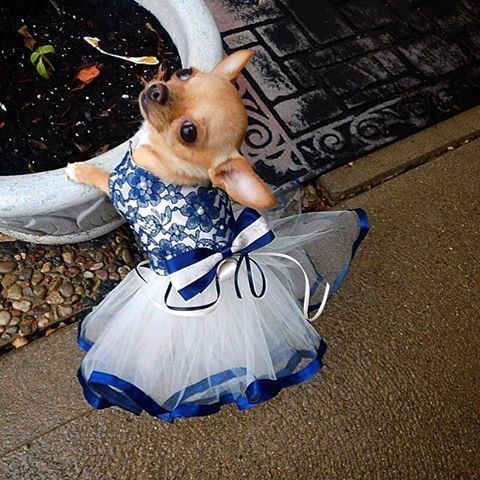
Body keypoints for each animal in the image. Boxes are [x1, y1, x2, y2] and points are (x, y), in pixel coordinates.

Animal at [68, 50, 278, 210]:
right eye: (184, 72)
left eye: (188, 132)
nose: (158, 91)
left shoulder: (116, 188)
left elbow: (100, 177)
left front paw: (79, 170)